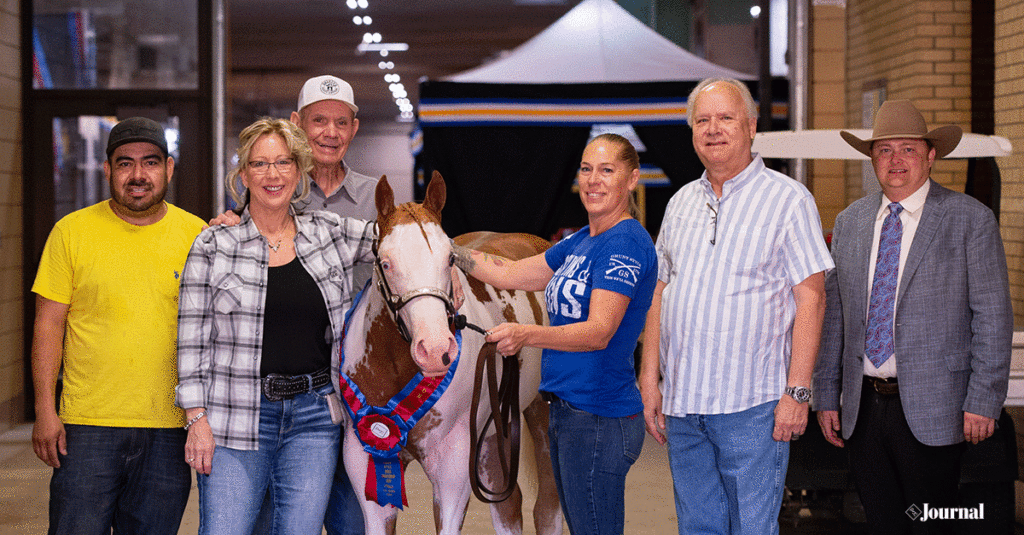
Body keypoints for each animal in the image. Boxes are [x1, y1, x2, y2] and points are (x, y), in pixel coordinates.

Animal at [337, 175, 561, 532]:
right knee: (508, 505)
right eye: (386, 262)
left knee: (547, 506)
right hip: (494, 430)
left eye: (450, 259)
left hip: (541, 413)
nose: (436, 350)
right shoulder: (365, 463)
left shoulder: (452, 470)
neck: (394, 368)